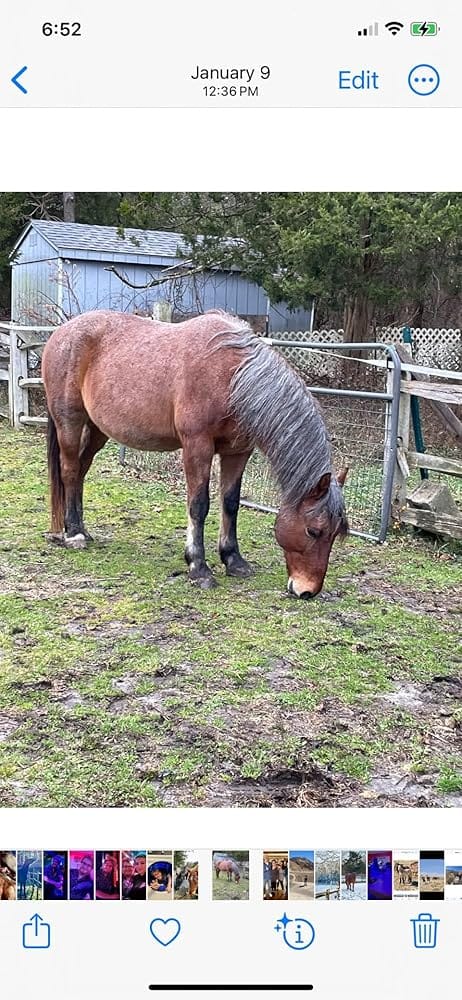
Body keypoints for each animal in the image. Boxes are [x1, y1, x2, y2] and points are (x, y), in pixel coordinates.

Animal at [42, 310, 348, 598]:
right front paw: (198, 567)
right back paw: (74, 534)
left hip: (97, 430)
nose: (307, 590)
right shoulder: (196, 446)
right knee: (69, 470)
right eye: (313, 531)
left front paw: (233, 560)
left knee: (81, 470)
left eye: (336, 533)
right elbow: (199, 505)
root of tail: (62, 332)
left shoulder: (238, 451)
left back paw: (82, 528)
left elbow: (231, 503)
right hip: (70, 421)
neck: (232, 376)